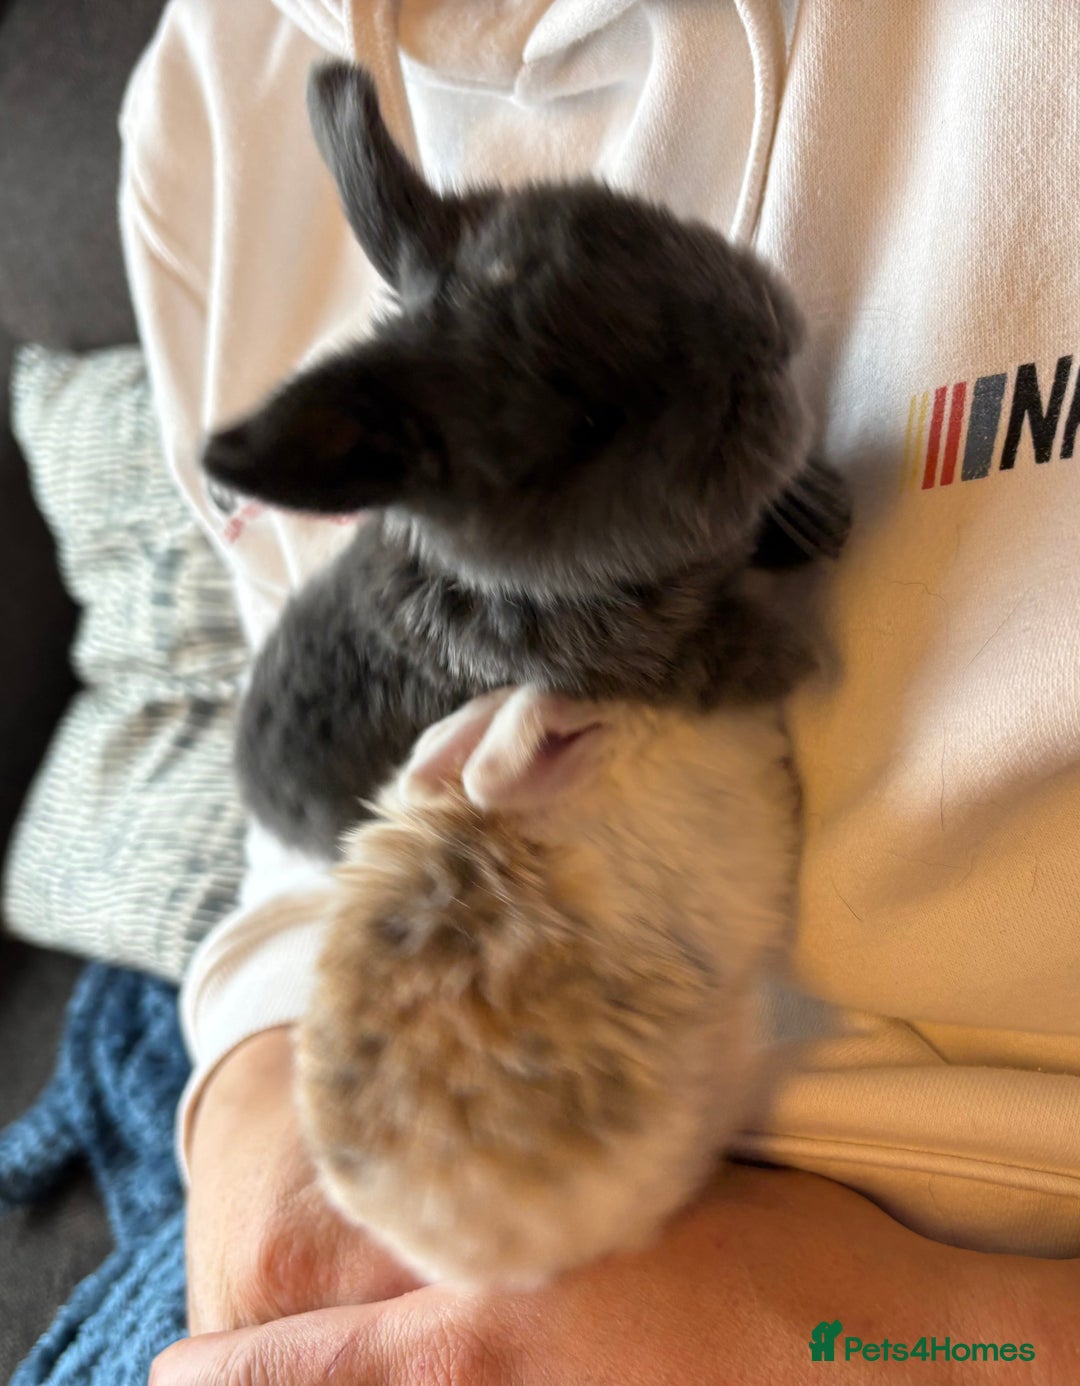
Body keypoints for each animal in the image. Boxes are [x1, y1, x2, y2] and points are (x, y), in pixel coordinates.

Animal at [202, 60, 851, 860]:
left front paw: (824, 512)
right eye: (592, 425)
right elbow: (721, 657)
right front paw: (800, 656)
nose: (766, 341)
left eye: (623, 223)